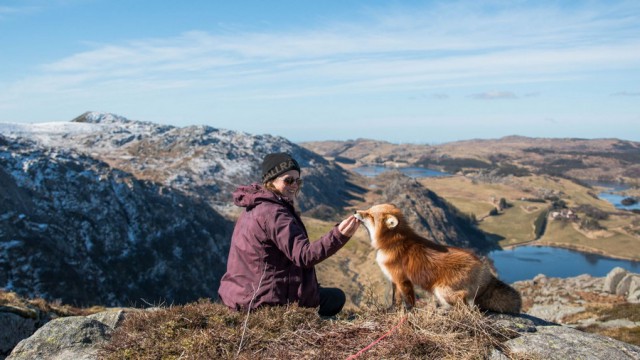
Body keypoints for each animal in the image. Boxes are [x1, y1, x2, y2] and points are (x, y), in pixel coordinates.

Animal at [352, 204, 524, 314]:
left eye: (370, 215)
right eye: (368, 210)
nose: (354, 211)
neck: (392, 243)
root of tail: (484, 269)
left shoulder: (402, 280)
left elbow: (408, 300)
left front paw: (409, 312)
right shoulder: (394, 280)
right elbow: (395, 300)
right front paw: (391, 311)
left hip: (441, 290)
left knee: (465, 306)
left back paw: (442, 310)